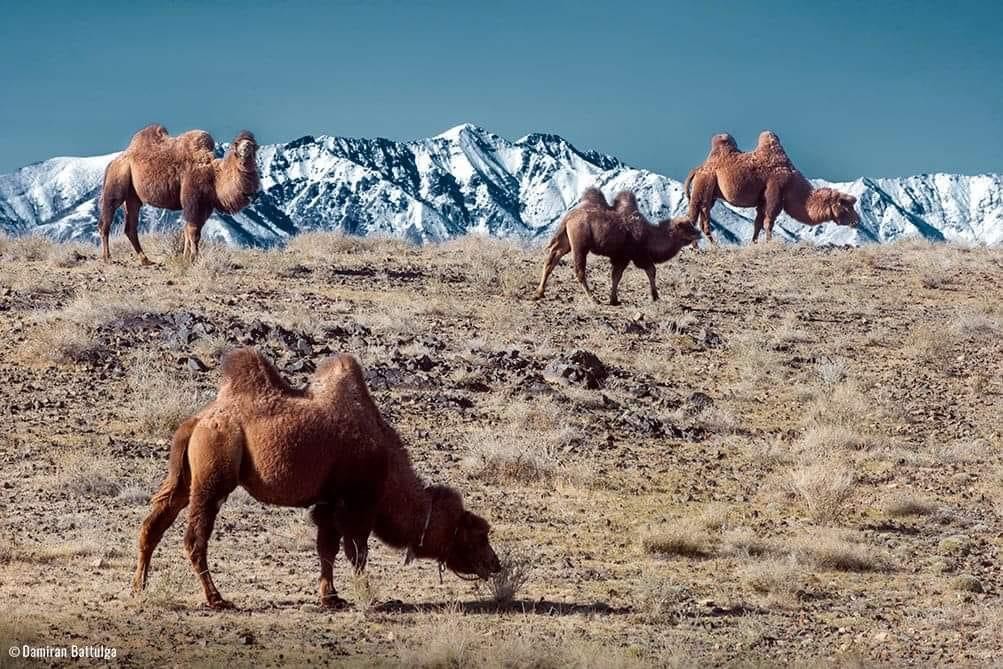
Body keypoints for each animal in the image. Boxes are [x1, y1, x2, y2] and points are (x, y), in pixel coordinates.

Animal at [98, 125, 258, 264]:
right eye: (237, 144)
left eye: (253, 145)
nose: (245, 148)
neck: (213, 175)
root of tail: (113, 161)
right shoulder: (192, 199)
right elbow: (193, 231)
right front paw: (194, 258)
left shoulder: (206, 206)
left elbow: (188, 231)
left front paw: (186, 257)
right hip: (117, 178)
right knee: (106, 218)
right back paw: (107, 257)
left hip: (133, 197)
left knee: (130, 227)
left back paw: (145, 260)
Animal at [131, 349, 501, 609]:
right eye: (477, 536)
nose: (495, 564)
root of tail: (196, 422)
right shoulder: (357, 500)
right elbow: (357, 551)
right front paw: (368, 595)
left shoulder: (328, 500)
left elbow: (327, 547)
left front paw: (330, 597)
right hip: (214, 469)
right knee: (195, 537)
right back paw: (217, 599)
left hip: (185, 475)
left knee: (155, 521)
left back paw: (139, 587)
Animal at [533, 187, 698, 304]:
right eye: (687, 227)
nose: (698, 233)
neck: (650, 235)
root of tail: (568, 217)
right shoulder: (634, 255)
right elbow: (649, 270)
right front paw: (655, 296)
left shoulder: (622, 256)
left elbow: (616, 276)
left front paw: (614, 299)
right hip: (580, 242)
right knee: (579, 270)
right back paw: (593, 299)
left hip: (566, 241)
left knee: (552, 258)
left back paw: (539, 293)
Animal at [682, 130, 862, 243]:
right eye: (846, 206)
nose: (857, 221)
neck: (794, 185)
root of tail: (698, 169)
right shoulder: (775, 193)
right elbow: (769, 222)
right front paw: (769, 244)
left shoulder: (762, 200)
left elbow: (758, 223)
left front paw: (754, 244)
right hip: (703, 184)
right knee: (694, 216)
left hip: (710, 193)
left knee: (702, 218)